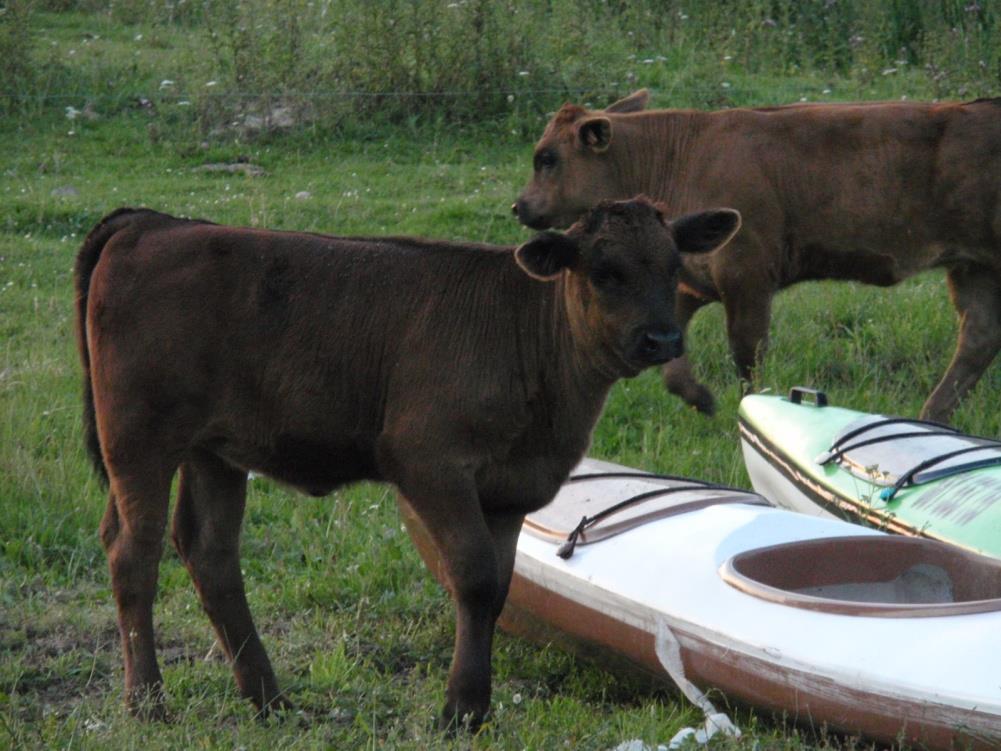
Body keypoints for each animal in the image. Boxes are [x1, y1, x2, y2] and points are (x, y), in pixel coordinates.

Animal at [74, 198, 740, 728]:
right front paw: (460, 708)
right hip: (139, 439)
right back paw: (148, 703)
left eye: (673, 266)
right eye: (604, 272)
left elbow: (497, 587)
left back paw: (269, 699)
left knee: (209, 553)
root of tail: (154, 223)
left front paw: (475, 706)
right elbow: (472, 577)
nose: (662, 340)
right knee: (134, 552)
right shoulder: (429, 462)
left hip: (214, 451)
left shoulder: (510, 488)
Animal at [516, 88, 1001, 424]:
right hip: (973, 269)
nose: (519, 206)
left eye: (548, 157)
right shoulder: (691, 279)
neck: (682, 154)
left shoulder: (746, 277)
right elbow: (674, 356)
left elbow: (746, 351)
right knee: (978, 337)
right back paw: (933, 417)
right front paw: (701, 399)